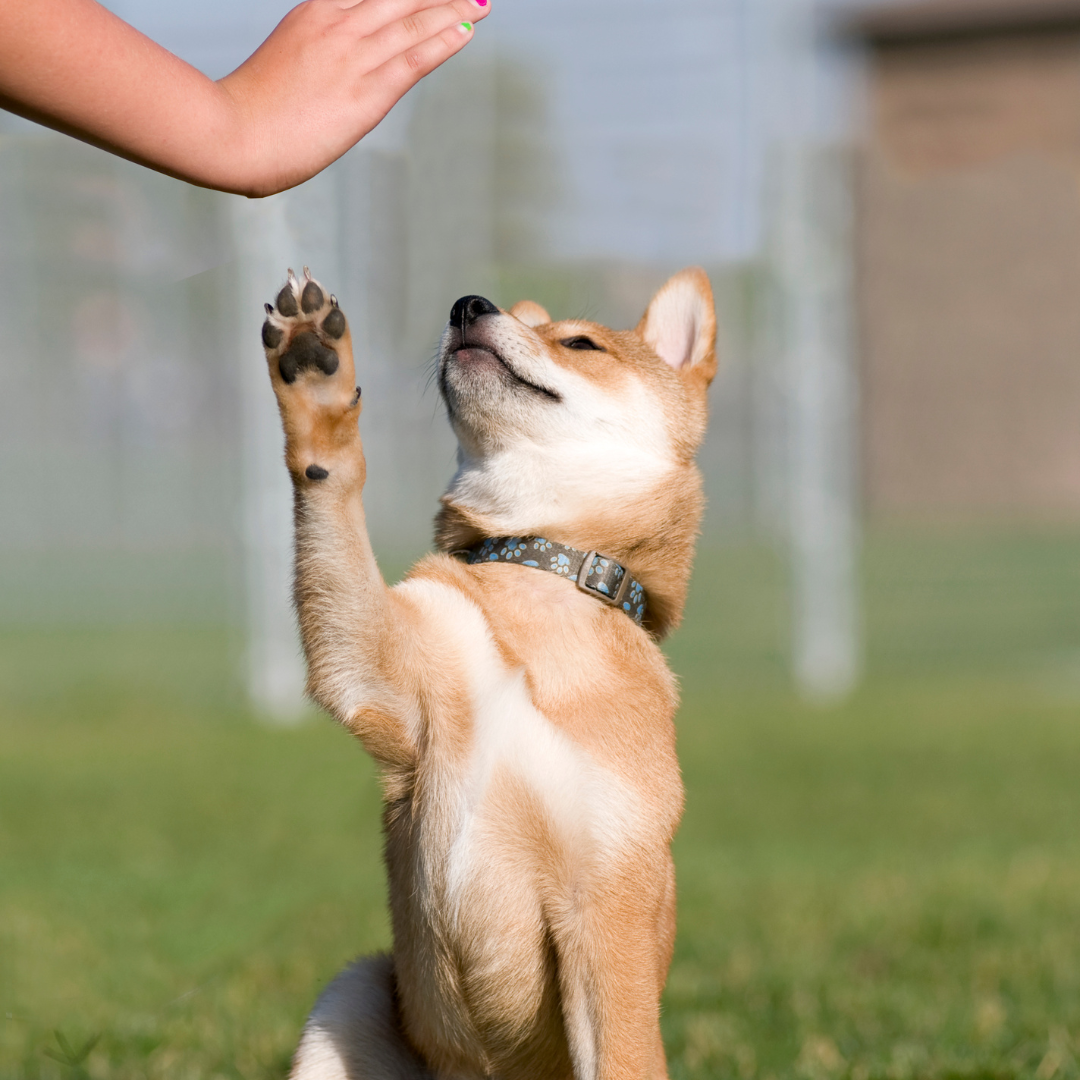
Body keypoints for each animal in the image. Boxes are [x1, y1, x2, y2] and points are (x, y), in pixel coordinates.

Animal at [259, 263, 717, 1080]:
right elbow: (334, 491)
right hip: (351, 993)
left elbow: (621, 1053)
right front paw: (314, 377)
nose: (468, 305)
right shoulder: (377, 671)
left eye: (580, 343)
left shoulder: (607, 912)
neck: (540, 573)